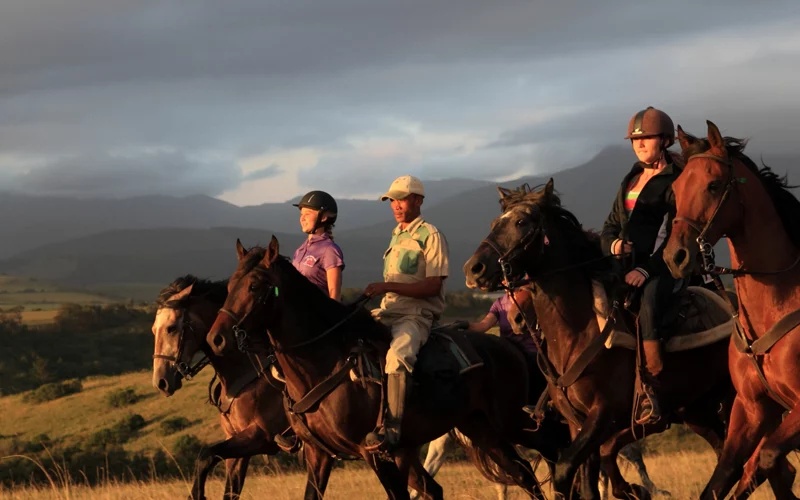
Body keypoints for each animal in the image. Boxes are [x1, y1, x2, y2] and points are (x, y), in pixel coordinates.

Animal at [150, 276, 290, 500]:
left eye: (171, 328)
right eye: (154, 330)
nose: (161, 382)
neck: (246, 369)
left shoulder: (260, 436)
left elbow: (205, 455)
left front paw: (196, 494)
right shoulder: (237, 447)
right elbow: (228, 487)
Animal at [205, 238, 568, 500]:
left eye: (254, 286)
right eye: (230, 286)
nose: (216, 338)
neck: (324, 362)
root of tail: (508, 347)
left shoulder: (375, 455)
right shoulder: (318, 454)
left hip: (509, 421)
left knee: (551, 446)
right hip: (481, 429)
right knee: (523, 472)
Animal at [466, 183, 740, 500]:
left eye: (521, 222)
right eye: (494, 223)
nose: (473, 269)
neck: (577, 332)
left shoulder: (603, 416)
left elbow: (564, 471)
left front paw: (633, 489)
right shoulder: (577, 424)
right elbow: (587, 482)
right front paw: (631, 489)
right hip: (697, 410)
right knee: (724, 450)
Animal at [664, 122, 800, 500]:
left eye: (713, 185)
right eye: (675, 189)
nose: (674, 257)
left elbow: (766, 459)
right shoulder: (750, 411)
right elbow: (726, 475)